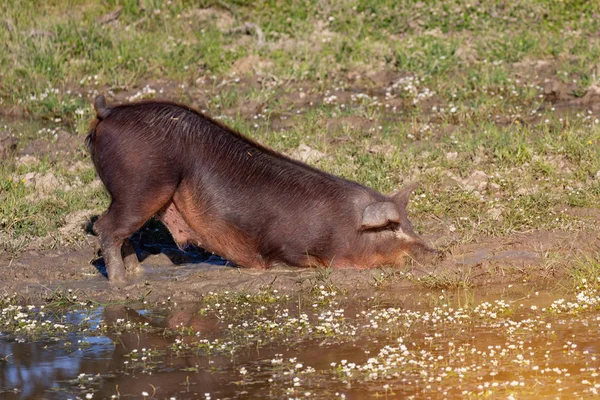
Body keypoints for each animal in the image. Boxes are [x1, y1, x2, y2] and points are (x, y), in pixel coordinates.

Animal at [86, 96, 436, 284]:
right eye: (389, 228)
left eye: (409, 224)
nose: (437, 252)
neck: (341, 226)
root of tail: (109, 111)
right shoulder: (286, 250)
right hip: (141, 185)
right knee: (106, 227)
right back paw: (121, 283)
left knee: (121, 232)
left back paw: (138, 274)